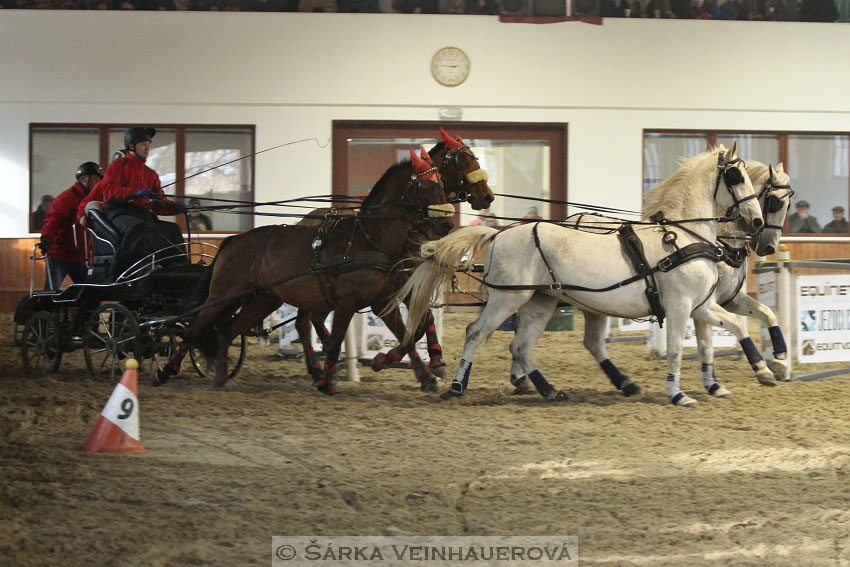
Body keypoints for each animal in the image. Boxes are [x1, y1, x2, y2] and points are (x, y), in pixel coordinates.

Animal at [155, 149, 454, 394]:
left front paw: (414, 372)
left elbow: (408, 336)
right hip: (223, 295)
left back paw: (222, 375)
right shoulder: (347, 302)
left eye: (442, 183)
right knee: (195, 328)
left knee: (227, 332)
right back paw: (165, 372)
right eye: (427, 184)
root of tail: (234, 240)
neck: (369, 238)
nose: (448, 225)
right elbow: (336, 340)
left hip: (262, 301)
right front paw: (326, 382)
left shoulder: (383, 302)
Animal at [396, 142, 760, 408]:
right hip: (508, 298)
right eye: (736, 177)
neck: (683, 237)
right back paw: (458, 386)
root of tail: (499, 235)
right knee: (475, 333)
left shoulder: (701, 305)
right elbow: (674, 349)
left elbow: (732, 328)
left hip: (540, 302)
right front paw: (678, 394)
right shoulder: (680, 305)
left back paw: (550, 390)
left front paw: (760, 370)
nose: (757, 222)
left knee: (522, 347)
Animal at [568, 162, 796, 402]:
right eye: (774, 202)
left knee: (593, 342)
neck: (715, 244)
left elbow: (765, 313)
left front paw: (779, 360)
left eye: (789, 204)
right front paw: (757, 370)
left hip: (593, 304)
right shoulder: (702, 304)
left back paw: (626, 384)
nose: (769, 247)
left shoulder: (729, 300)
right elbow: (707, 342)